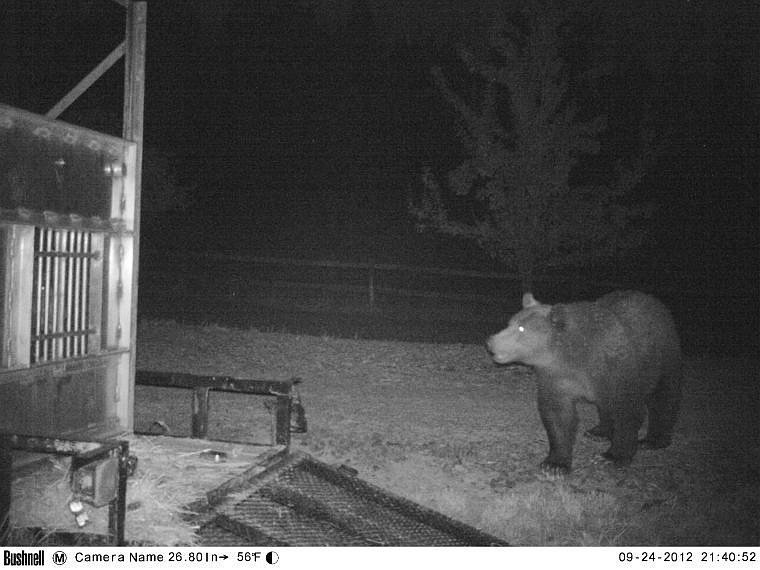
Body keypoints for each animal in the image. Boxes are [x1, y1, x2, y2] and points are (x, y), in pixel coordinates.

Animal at [486, 290, 684, 472]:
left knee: (664, 397)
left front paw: (612, 457)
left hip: (663, 357)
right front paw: (555, 464)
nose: (490, 341)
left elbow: (626, 411)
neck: (571, 358)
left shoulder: (614, 370)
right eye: (510, 322)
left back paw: (653, 440)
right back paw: (599, 432)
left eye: (521, 328)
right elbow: (557, 413)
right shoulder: (556, 378)